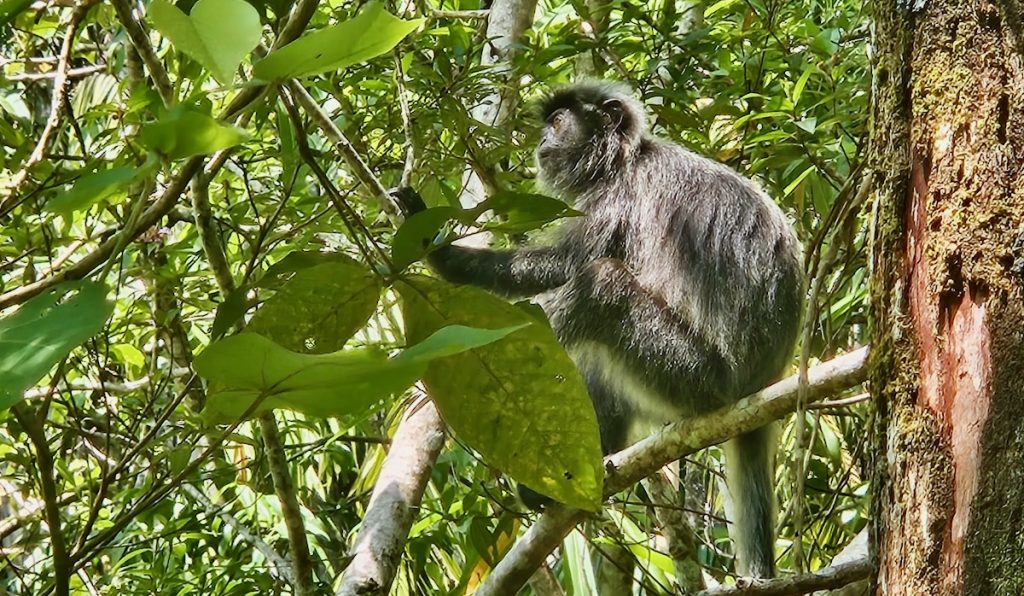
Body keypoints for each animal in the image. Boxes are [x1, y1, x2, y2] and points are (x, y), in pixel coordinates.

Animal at [395, 80, 803, 579]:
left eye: (557, 122)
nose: (540, 141)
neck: (626, 160)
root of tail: (760, 385)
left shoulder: (618, 197)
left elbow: (563, 265)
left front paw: (441, 255)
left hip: (699, 380)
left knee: (601, 284)